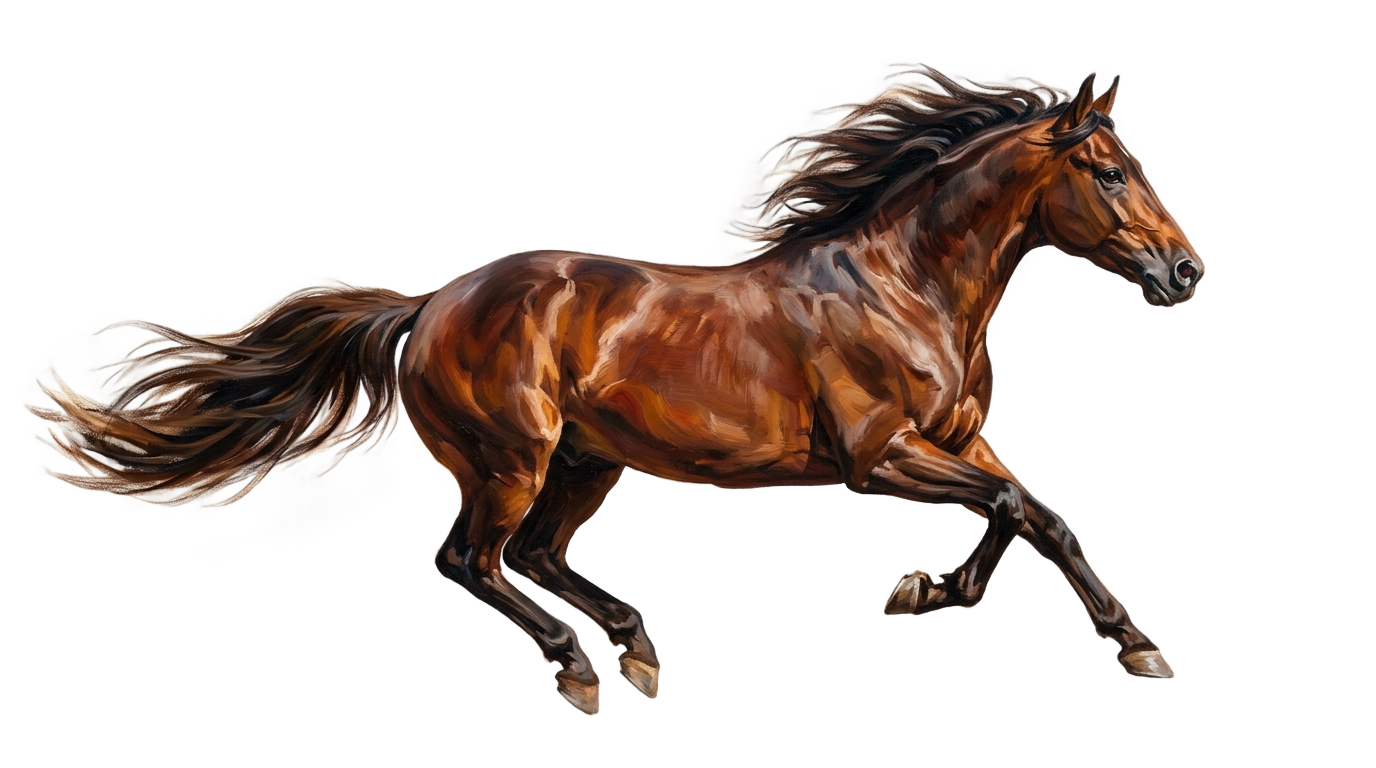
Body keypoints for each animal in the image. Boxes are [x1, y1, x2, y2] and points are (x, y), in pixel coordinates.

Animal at [36, 64, 1201, 712]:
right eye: (1107, 172)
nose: (1183, 271)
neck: (901, 286)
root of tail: (428, 305)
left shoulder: (958, 443)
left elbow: (1034, 514)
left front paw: (1121, 643)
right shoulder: (882, 458)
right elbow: (1011, 507)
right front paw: (946, 597)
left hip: (585, 462)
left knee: (534, 556)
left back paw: (639, 653)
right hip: (510, 460)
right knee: (470, 561)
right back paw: (578, 672)